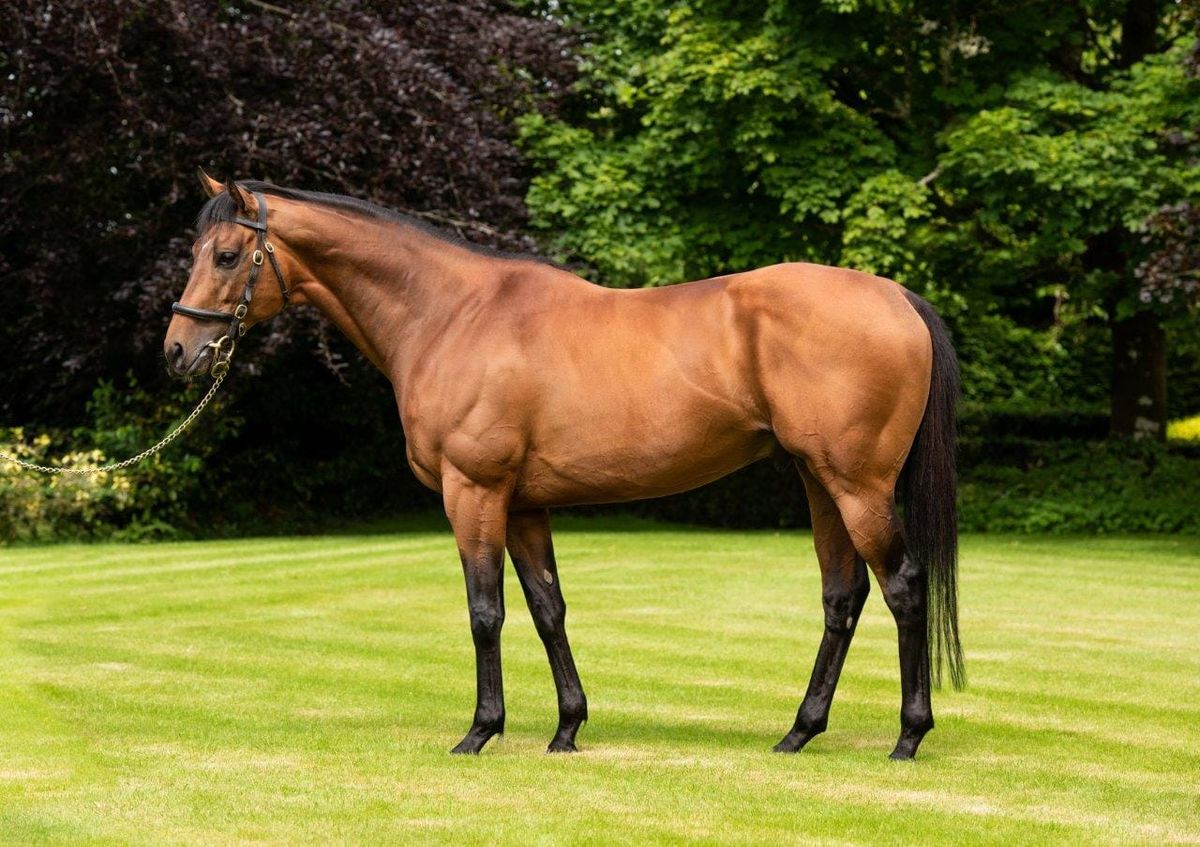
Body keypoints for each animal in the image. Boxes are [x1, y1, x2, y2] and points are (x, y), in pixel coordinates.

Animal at [164, 171, 964, 759]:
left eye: (227, 256)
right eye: (197, 252)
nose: (177, 351)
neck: (451, 314)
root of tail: (897, 297)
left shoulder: (474, 492)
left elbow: (485, 610)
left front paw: (480, 731)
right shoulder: (523, 504)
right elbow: (548, 609)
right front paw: (567, 728)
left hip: (856, 485)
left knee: (902, 587)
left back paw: (907, 736)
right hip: (818, 481)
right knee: (842, 597)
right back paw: (799, 731)